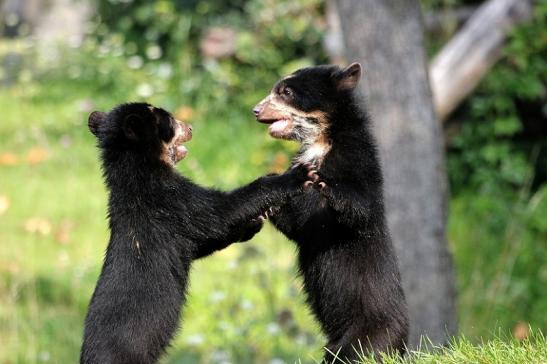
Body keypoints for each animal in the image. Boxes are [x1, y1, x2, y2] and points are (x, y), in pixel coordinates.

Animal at [79, 103, 314, 364]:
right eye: (169, 120)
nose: (190, 128)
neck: (139, 172)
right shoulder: (169, 203)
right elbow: (218, 212)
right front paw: (295, 175)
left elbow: (204, 241)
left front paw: (252, 225)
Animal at [253, 63, 406, 362]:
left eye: (286, 92)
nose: (256, 110)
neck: (322, 141)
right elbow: (297, 225)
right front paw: (271, 195)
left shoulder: (359, 163)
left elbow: (362, 209)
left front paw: (327, 187)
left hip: (370, 334)